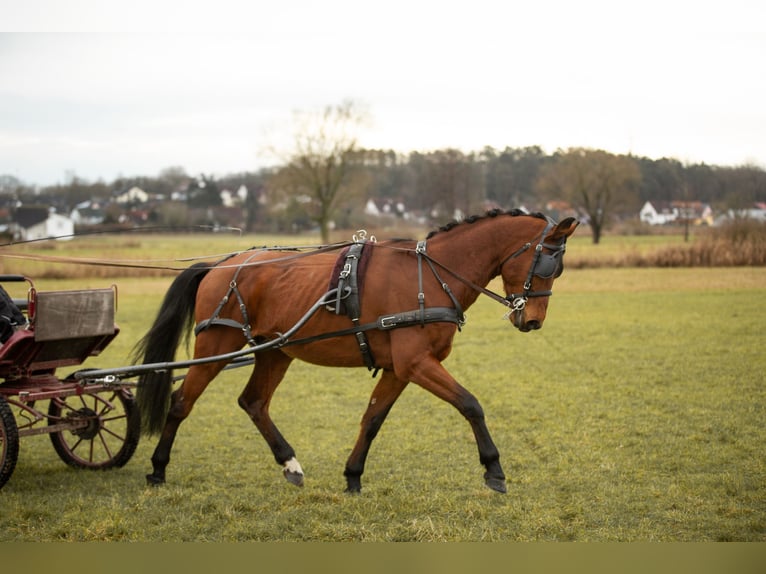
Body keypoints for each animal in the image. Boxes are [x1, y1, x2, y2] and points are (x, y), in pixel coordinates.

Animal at [134, 212, 576, 496]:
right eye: (548, 264)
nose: (532, 320)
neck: (432, 275)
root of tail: (219, 265)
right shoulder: (417, 363)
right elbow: (471, 404)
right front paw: (494, 469)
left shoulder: (400, 368)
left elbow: (372, 419)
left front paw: (352, 476)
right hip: (218, 345)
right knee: (181, 401)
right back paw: (157, 468)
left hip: (275, 350)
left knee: (253, 402)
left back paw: (290, 463)